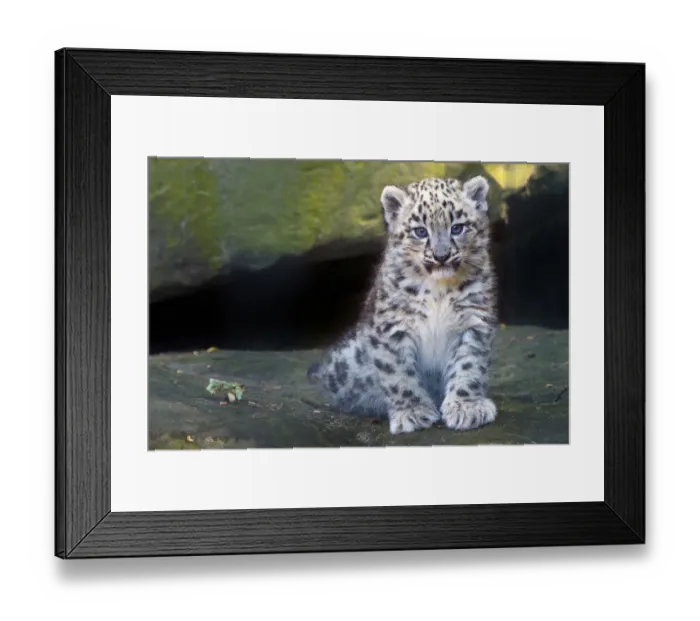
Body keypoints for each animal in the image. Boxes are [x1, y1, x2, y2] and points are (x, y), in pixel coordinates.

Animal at [307, 175, 499, 435]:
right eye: (420, 231)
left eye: (457, 227)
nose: (441, 256)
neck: (439, 289)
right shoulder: (393, 327)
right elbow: (399, 373)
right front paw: (413, 412)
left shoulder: (473, 321)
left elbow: (468, 365)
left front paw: (466, 407)